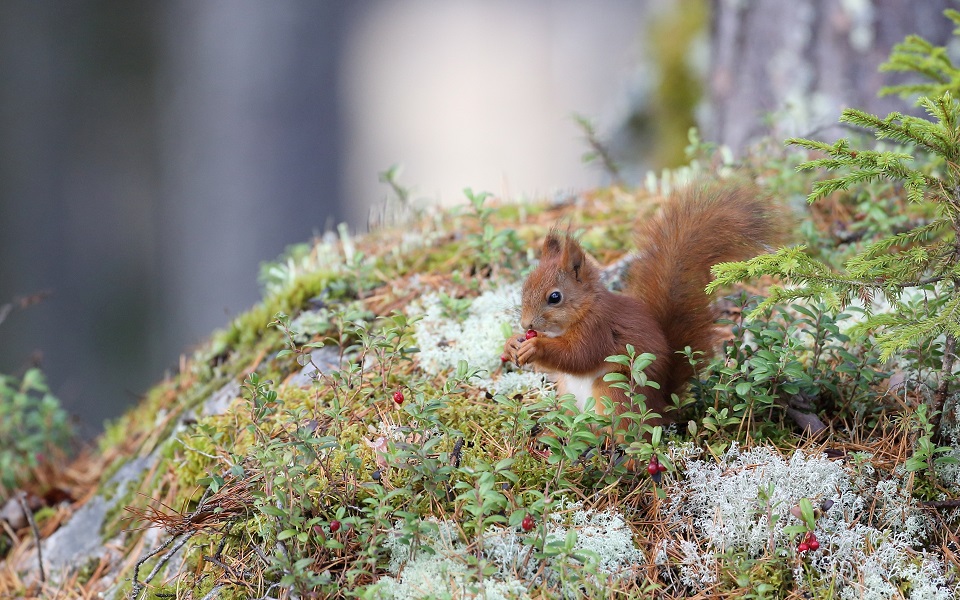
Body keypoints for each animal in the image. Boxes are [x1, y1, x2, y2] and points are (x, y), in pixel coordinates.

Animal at [506, 180, 784, 420]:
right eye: (525, 286)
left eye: (555, 297)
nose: (526, 324)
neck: (583, 310)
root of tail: (661, 406)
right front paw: (511, 344)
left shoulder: (598, 328)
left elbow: (579, 355)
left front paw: (535, 347)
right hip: (567, 392)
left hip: (615, 388)